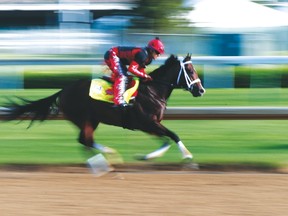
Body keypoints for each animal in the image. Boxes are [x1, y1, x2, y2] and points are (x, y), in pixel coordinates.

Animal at [2, 54, 205, 164]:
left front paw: (145, 157)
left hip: (92, 120)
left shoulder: (148, 125)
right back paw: (107, 159)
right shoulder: (147, 122)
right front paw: (187, 156)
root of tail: (63, 90)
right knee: (87, 141)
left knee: (85, 141)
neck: (153, 90)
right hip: (82, 118)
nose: (201, 90)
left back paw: (106, 158)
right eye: (190, 71)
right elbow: (173, 135)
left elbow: (165, 140)